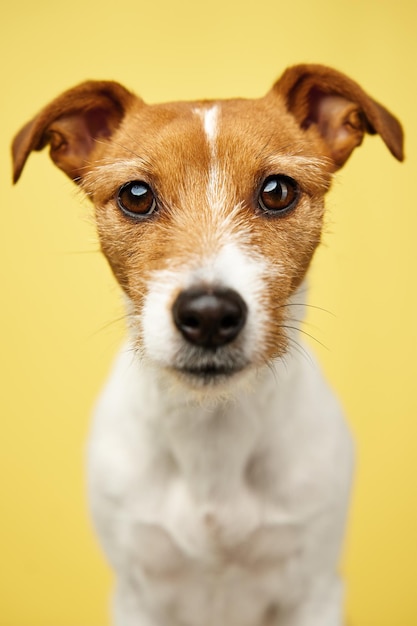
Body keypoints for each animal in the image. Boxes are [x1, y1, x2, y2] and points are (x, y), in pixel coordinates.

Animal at [12, 66, 404, 620]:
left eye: (277, 191)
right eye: (136, 195)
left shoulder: (315, 591)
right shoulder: (137, 596)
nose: (210, 315)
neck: (212, 432)